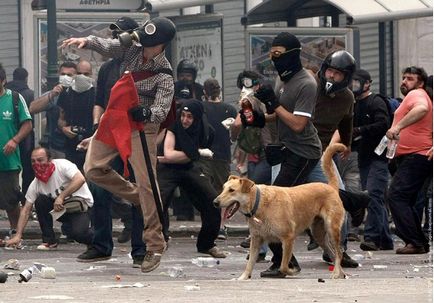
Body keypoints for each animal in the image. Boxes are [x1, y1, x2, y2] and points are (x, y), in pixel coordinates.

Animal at [214, 143, 346, 280]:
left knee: (339, 252)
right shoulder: (256, 239)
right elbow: (250, 263)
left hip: (332, 228)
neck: (259, 203)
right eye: (223, 189)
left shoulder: (288, 238)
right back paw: (340, 273)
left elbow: (283, 265)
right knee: (333, 253)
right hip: (318, 234)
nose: (215, 202)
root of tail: (331, 187)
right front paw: (243, 277)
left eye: (231, 190)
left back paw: (336, 273)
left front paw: (292, 271)